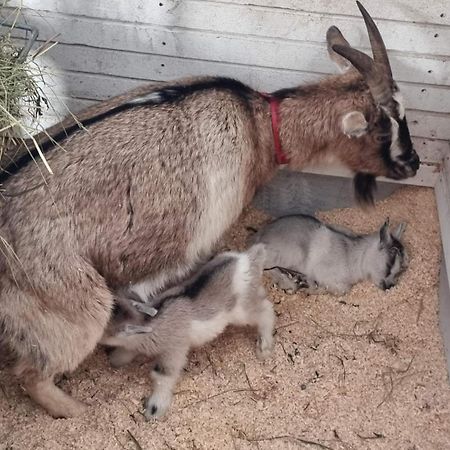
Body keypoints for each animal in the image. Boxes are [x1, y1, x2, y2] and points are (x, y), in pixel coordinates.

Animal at [0, 1, 420, 416]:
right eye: (383, 129)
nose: (414, 163)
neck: (256, 126)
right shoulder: (189, 246)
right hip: (74, 305)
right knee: (32, 374)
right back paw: (79, 412)